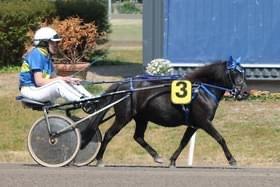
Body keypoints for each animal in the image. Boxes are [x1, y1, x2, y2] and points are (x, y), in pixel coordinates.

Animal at [82, 57, 245, 167]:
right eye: (234, 72)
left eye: (243, 72)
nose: (243, 92)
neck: (202, 90)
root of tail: (122, 84)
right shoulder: (204, 122)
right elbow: (220, 138)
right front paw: (232, 160)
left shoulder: (193, 125)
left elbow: (184, 142)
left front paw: (172, 160)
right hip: (124, 117)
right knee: (109, 134)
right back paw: (99, 159)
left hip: (141, 118)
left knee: (138, 137)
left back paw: (157, 156)